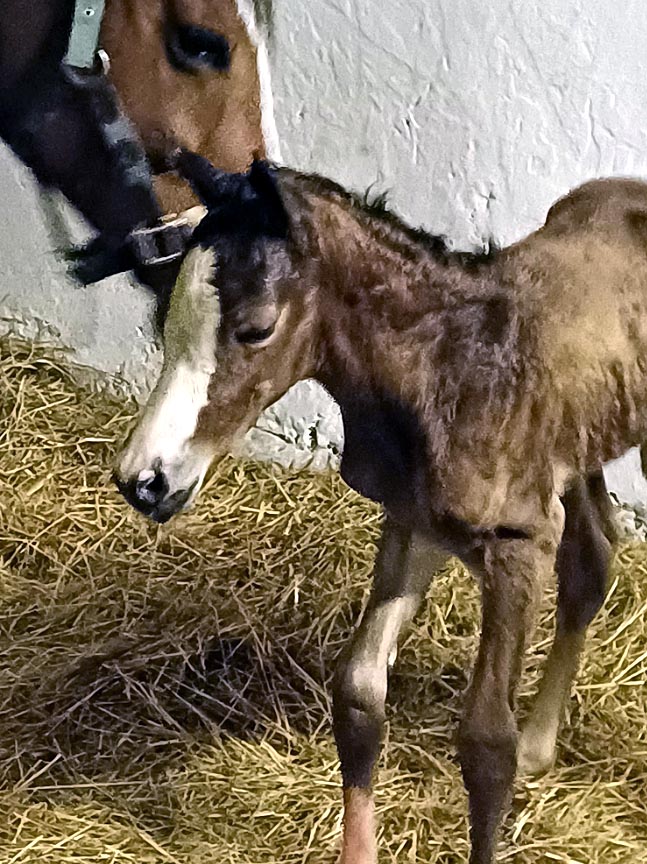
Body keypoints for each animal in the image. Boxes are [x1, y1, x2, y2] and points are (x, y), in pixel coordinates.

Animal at [113, 150, 647, 863]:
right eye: (166, 321)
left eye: (256, 329)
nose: (142, 480)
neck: (444, 372)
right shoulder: (413, 521)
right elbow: (360, 693)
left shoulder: (518, 543)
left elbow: (487, 743)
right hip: (578, 442)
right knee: (592, 558)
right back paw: (541, 746)